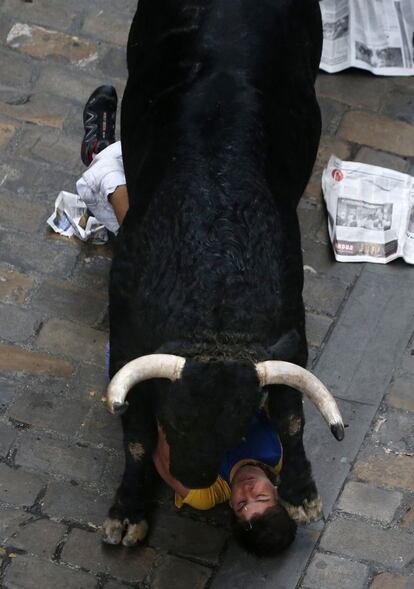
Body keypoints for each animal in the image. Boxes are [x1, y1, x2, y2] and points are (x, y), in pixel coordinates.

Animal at [105, 0, 332, 544]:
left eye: (237, 428)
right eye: (173, 420)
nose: (188, 477)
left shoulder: (291, 335)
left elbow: (291, 419)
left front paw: (301, 493)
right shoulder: (126, 337)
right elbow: (137, 437)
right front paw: (128, 509)